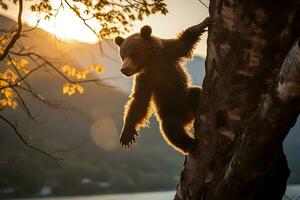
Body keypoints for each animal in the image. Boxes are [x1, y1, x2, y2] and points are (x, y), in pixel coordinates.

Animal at [114, 17, 213, 155]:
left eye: (133, 54)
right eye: (122, 56)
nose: (124, 70)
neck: (152, 62)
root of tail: (187, 118)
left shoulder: (167, 54)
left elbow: (183, 43)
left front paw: (202, 24)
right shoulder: (145, 78)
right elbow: (139, 100)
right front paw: (127, 134)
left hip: (183, 98)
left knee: (196, 93)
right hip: (168, 112)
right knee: (171, 130)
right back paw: (190, 145)